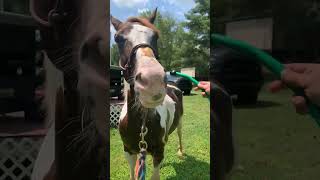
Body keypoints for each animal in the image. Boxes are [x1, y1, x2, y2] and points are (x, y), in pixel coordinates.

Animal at [111, 8, 184, 180]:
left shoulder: (158, 151)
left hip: (180, 121)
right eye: (117, 38)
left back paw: (180, 152)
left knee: (179, 134)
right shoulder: (129, 151)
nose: (153, 80)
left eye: (155, 36)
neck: (141, 123)